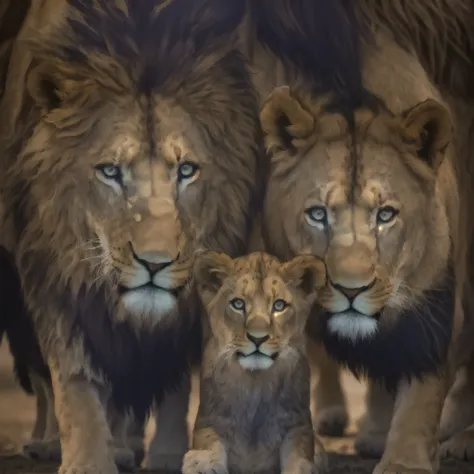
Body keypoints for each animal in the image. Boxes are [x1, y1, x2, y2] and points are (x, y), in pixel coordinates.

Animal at [0, 0, 262, 474]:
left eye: (186, 170)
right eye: (109, 171)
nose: (155, 265)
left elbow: (177, 380)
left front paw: (168, 455)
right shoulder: (52, 267)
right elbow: (73, 379)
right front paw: (86, 460)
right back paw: (50, 443)